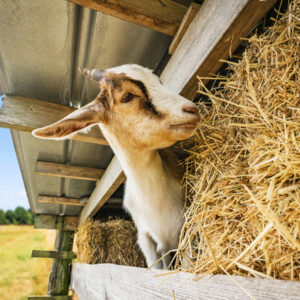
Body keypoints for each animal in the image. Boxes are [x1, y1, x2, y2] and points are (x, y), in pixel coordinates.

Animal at [32, 63, 200, 270]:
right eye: (127, 96)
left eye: (158, 82)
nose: (191, 109)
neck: (157, 203)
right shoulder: (149, 243)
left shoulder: (187, 231)